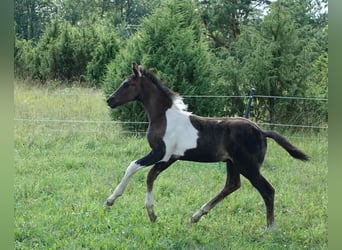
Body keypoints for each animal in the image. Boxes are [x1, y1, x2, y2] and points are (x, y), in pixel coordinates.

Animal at [105, 62, 308, 229]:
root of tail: (261, 131)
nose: (110, 100)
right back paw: (196, 216)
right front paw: (152, 215)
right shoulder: (170, 157)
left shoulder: (160, 152)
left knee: (267, 190)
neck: (164, 117)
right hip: (232, 163)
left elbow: (132, 167)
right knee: (232, 185)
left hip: (247, 166)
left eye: (127, 84)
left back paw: (269, 228)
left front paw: (110, 200)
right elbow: (150, 177)